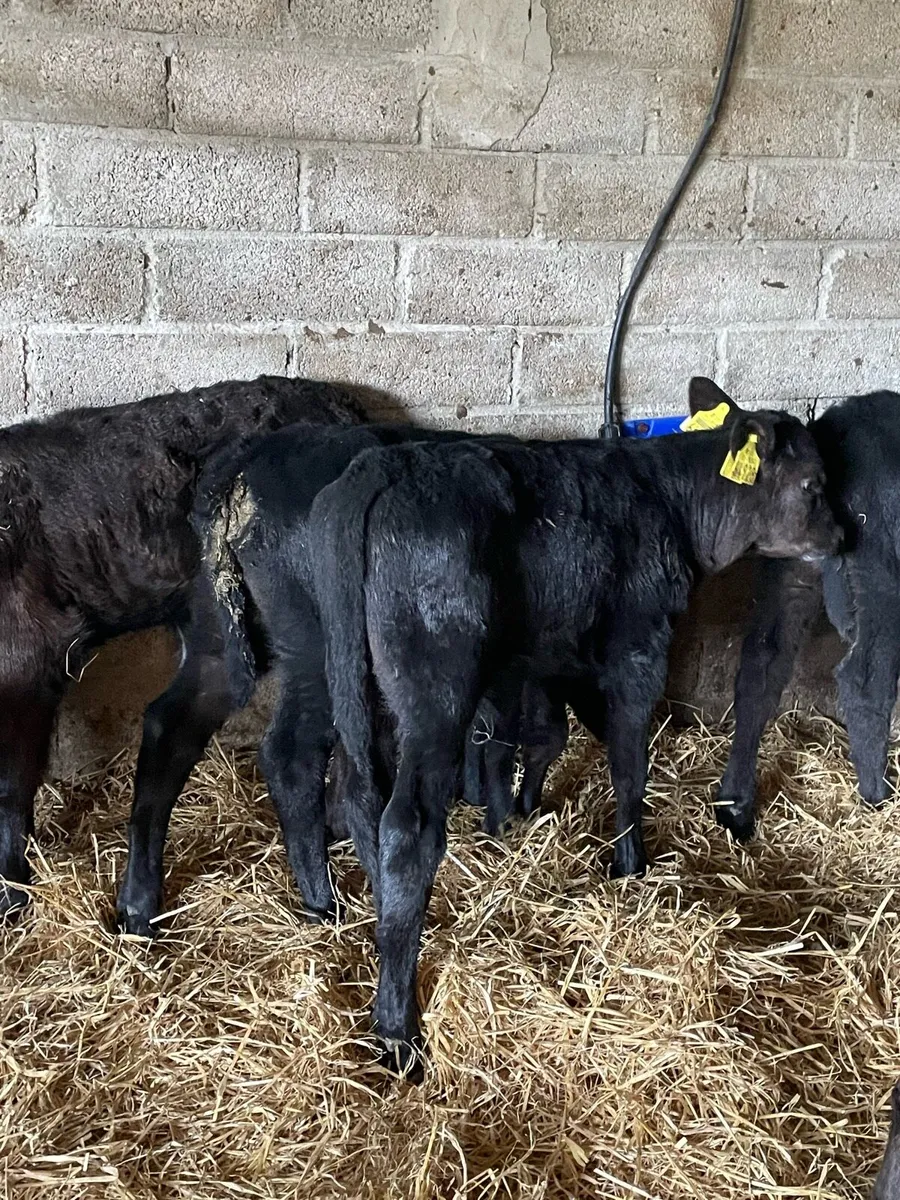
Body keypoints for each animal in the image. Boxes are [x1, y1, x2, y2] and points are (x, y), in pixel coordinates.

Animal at [309, 378, 840, 1077]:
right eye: (813, 483)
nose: (844, 536)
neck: (671, 500)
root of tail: (381, 468)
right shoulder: (638, 645)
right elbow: (629, 758)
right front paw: (631, 863)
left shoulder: (557, 660)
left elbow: (555, 738)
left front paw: (527, 812)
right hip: (434, 690)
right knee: (406, 826)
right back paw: (399, 1030)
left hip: (354, 679)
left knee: (355, 793)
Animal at [715, 391, 900, 843]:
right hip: (879, 572)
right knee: (865, 679)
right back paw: (876, 796)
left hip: (790, 569)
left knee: (760, 667)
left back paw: (734, 807)